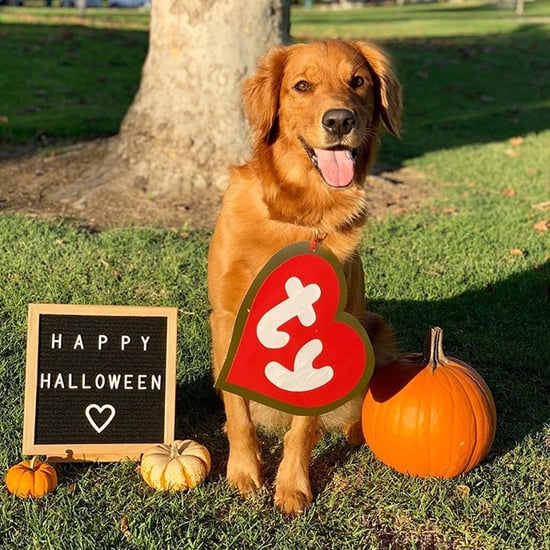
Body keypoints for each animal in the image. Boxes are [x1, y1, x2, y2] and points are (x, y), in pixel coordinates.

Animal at [209, 40, 404, 516]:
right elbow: (238, 415)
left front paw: (292, 485)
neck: (301, 216)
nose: (339, 120)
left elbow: (303, 428)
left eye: (359, 81)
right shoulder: (225, 317)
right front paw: (243, 472)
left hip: (376, 329)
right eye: (302, 85)